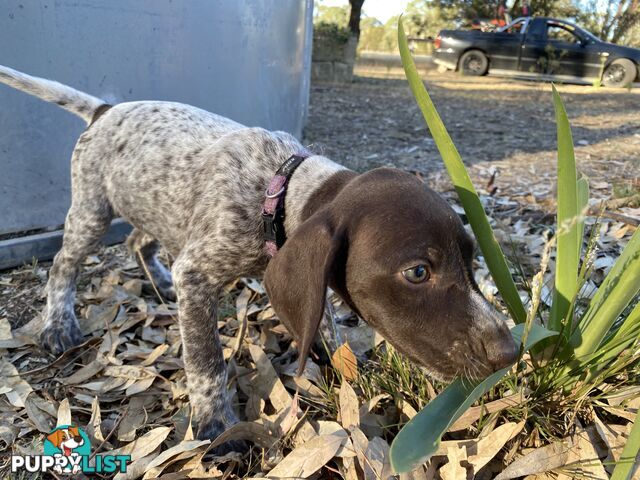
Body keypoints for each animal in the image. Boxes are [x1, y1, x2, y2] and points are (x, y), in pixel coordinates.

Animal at [0, 65, 516, 452]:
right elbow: (206, 359)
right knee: (64, 265)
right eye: (418, 272)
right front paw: (216, 426)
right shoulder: (200, 271)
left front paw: (343, 366)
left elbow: (320, 320)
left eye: (472, 261)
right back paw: (59, 324)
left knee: (139, 243)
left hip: (152, 205)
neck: (279, 188)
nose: (510, 353)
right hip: (92, 209)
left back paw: (162, 286)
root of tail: (106, 110)